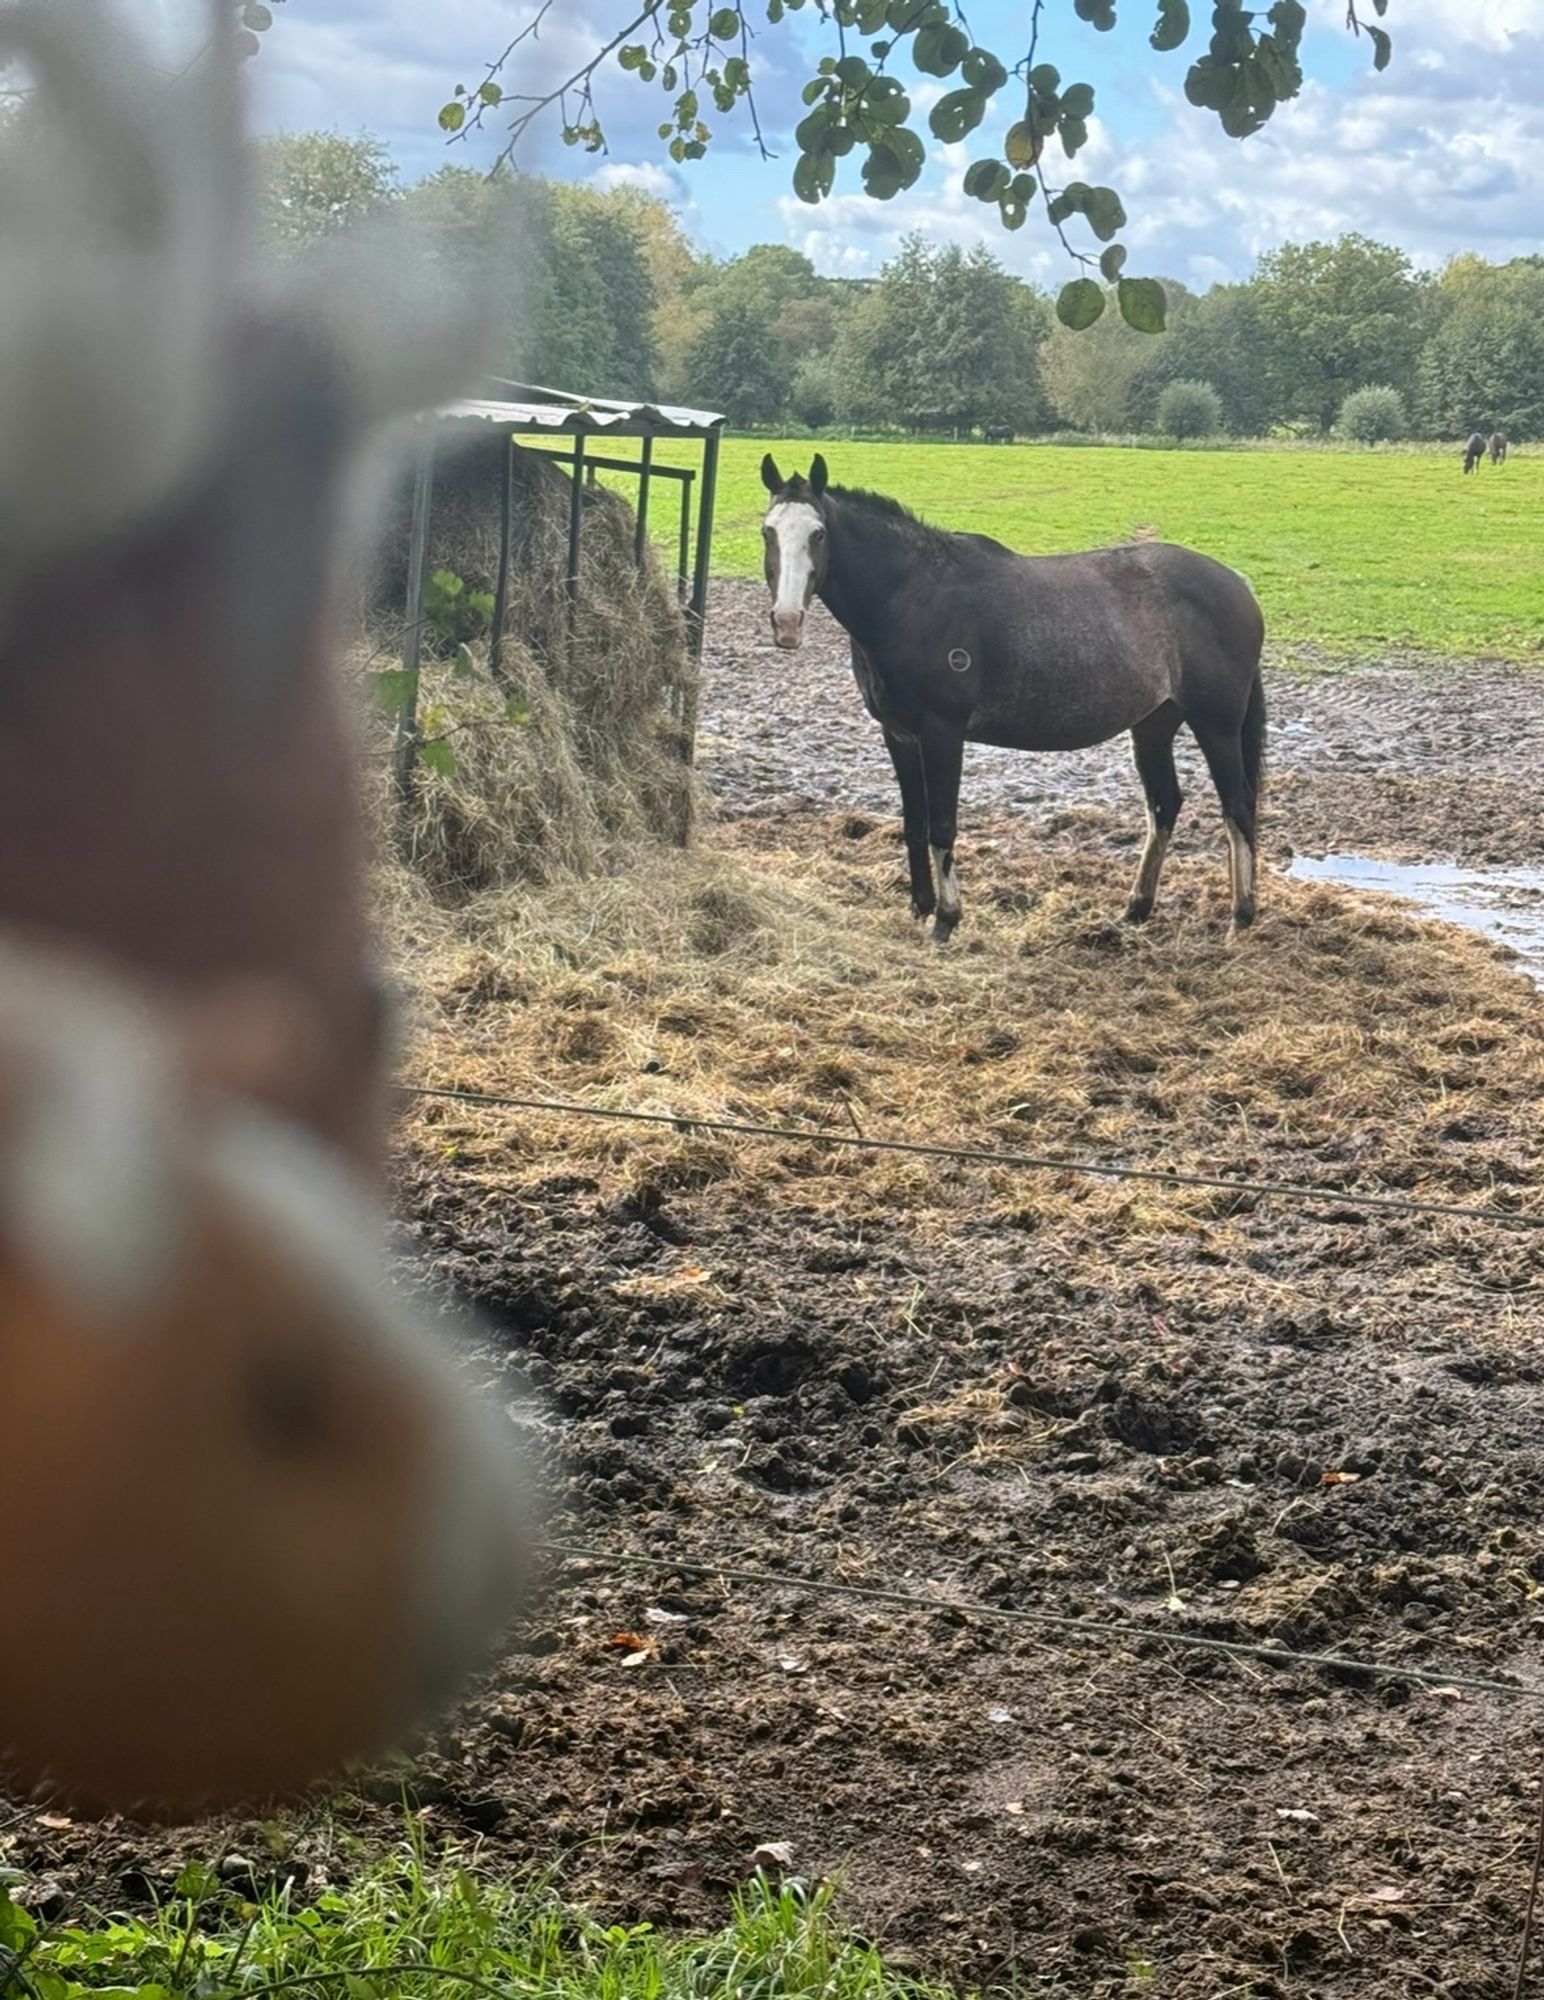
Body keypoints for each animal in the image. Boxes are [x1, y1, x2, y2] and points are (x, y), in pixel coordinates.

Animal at [760, 460, 1264, 936]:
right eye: (768, 531)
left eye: (818, 534)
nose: (786, 623)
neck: (914, 597)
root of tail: (1239, 587)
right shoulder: (898, 735)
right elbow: (914, 823)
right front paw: (920, 909)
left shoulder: (942, 733)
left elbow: (942, 825)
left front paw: (946, 920)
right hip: (1154, 724)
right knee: (1164, 806)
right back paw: (1136, 909)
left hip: (1216, 725)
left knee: (1236, 806)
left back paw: (1240, 918)